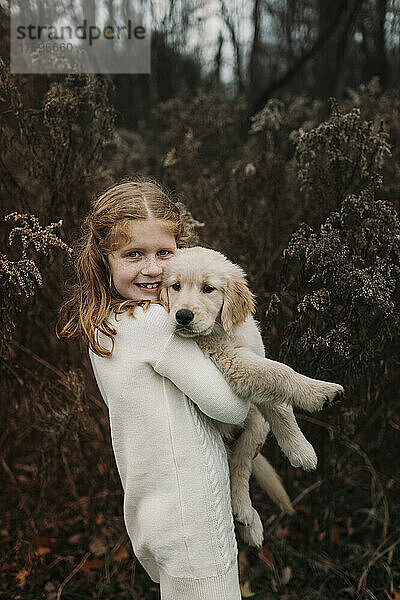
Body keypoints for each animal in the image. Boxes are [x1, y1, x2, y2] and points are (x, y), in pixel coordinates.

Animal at [159, 246, 344, 548]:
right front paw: (320, 392)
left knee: (240, 465)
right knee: (232, 470)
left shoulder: (255, 359)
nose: (183, 316)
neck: (225, 331)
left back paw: (247, 517)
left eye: (208, 288)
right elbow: (280, 372)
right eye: (175, 286)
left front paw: (300, 449)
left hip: (256, 426)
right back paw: (248, 518)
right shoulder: (232, 362)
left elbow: (279, 402)